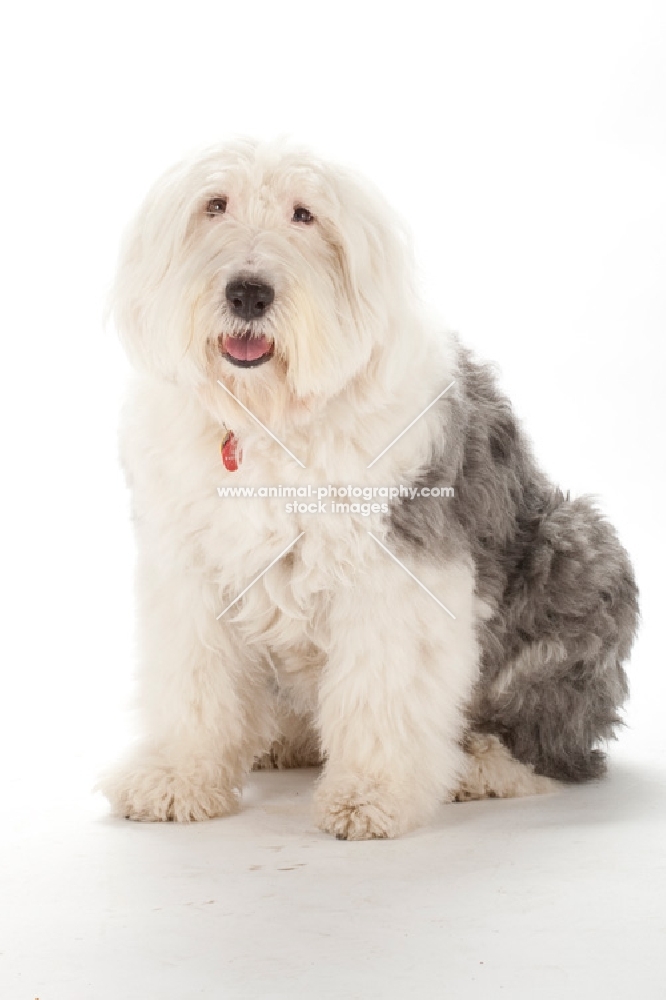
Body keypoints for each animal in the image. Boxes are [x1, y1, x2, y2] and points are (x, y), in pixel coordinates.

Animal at [98, 137, 640, 840]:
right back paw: (285, 741)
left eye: (304, 214)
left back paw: (482, 766)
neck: (270, 419)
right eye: (214, 205)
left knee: (557, 740)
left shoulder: (397, 573)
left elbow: (384, 693)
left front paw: (371, 796)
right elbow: (193, 685)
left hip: (575, 548)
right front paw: (177, 778)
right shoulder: (189, 573)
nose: (248, 293)